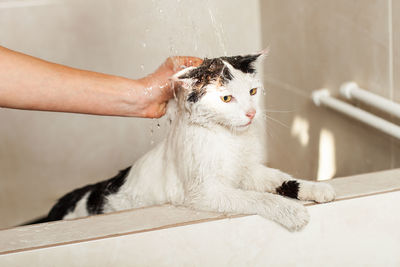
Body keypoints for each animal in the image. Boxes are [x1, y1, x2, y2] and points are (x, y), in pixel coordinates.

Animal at [36, 52, 334, 232]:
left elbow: (283, 180)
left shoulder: (249, 170)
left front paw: (317, 188)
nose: (251, 113)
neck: (229, 139)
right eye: (226, 98)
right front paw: (292, 212)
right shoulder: (205, 191)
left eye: (252, 91)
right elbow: (257, 198)